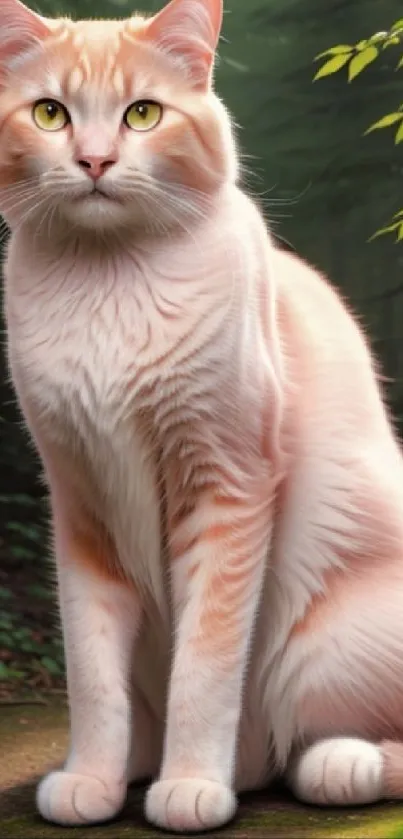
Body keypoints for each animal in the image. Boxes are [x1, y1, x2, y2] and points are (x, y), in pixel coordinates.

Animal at [2, 0, 403, 832]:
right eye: (50, 114)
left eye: (143, 113)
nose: (93, 161)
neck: (107, 282)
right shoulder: (80, 503)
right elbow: (91, 672)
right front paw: (92, 779)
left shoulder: (226, 487)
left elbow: (206, 662)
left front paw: (190, 784)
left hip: (319, 651)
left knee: (316, 743)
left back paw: (331, 764)